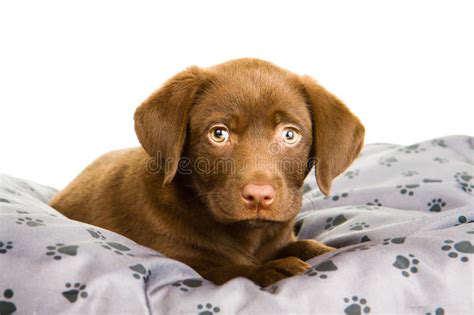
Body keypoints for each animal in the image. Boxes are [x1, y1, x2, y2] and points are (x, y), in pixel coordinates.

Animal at [50, 58, 364, 288]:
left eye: (290, 134)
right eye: (218, 134)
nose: (259, 196)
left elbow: (303, 244)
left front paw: (324, 251)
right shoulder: (176, 256)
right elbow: (226, 268)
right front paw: (275, 270)